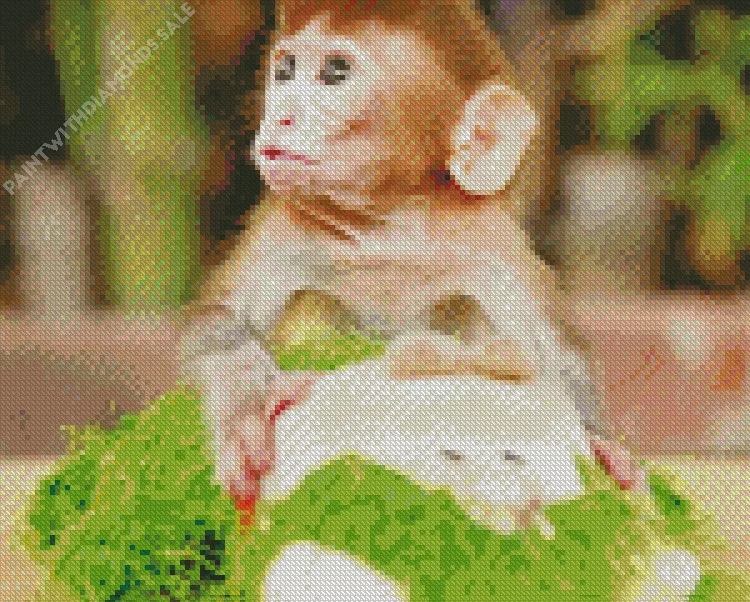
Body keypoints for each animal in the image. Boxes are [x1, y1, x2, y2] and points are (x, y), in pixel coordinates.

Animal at [179, 0, 605, 500]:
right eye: (284, 72)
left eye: (334, 73)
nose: (280, 115)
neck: (387, 225)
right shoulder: (280, 232)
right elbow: (215, 321)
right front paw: (244, 404)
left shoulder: (493, 243)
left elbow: (557, 359)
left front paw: (606, 451)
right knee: (317, 302)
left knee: (463, 306)